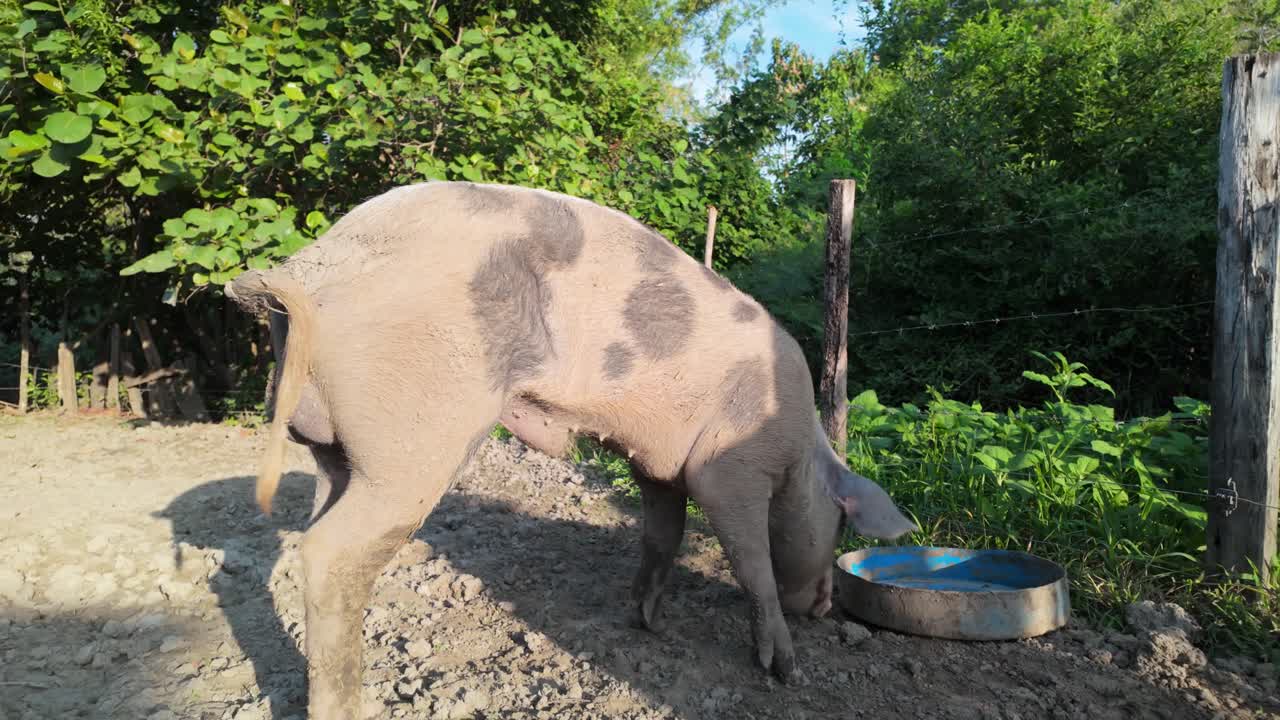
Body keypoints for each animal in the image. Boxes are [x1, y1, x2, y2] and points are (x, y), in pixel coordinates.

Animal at [225, 180, 916, 719]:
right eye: (839, 527)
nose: (823, 609)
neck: (799, 452)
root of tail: (308, 271)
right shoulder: (729, 469)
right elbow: (754, 564)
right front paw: (786, 671)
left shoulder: (659, 463)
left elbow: (662, 533)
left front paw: (648, 621)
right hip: (414, 439)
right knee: (329, 554)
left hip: (335, 451)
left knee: (312, 527)